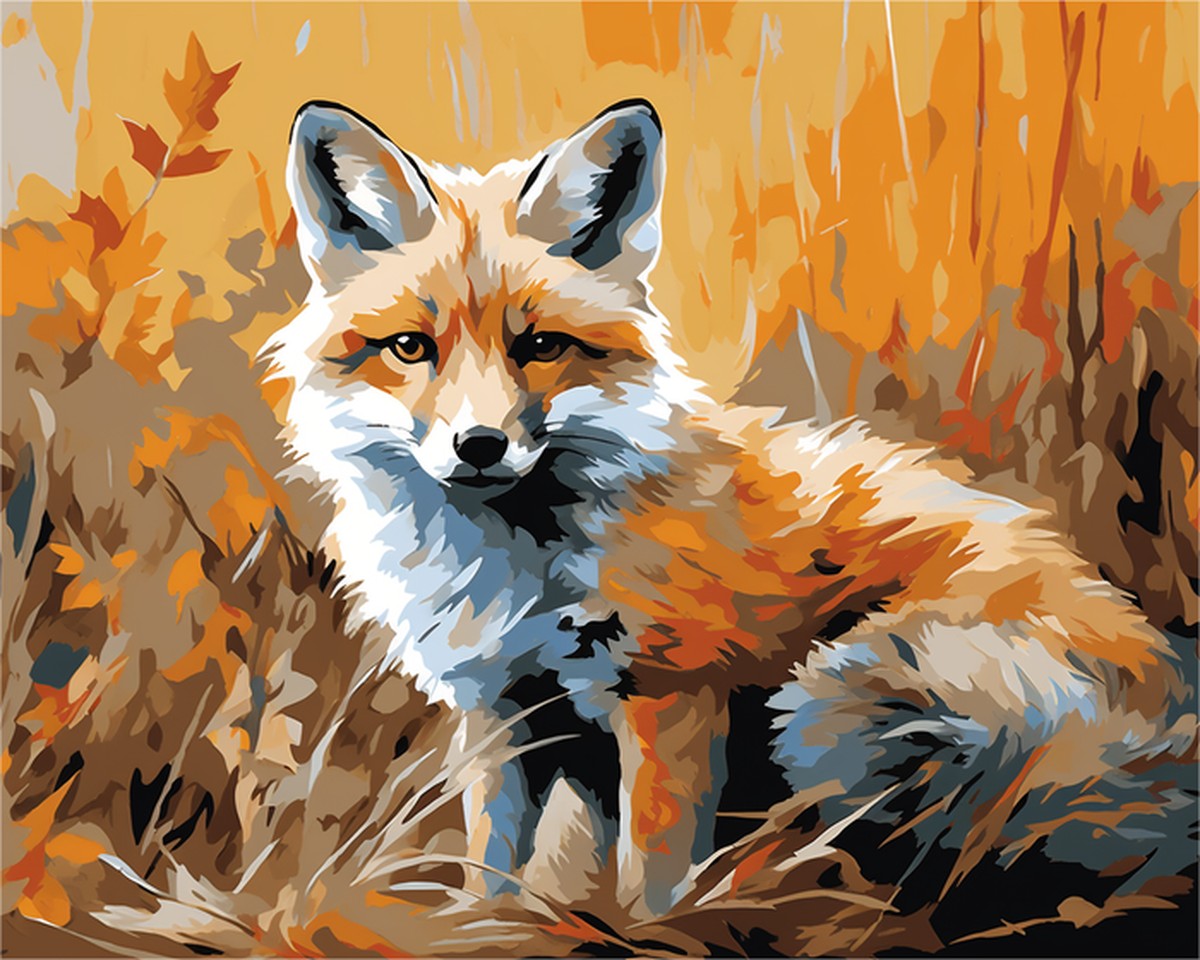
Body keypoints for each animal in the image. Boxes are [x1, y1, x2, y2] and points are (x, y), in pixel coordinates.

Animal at [263, 98, 1195, 918]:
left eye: (541, 346)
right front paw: (489, 926)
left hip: (836, 693)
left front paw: (649, 935)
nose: (480, 446)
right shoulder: (505, 713)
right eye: (410, 348)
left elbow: (651, 876)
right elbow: (492, 860)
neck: (516, 569)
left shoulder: (668, 693)